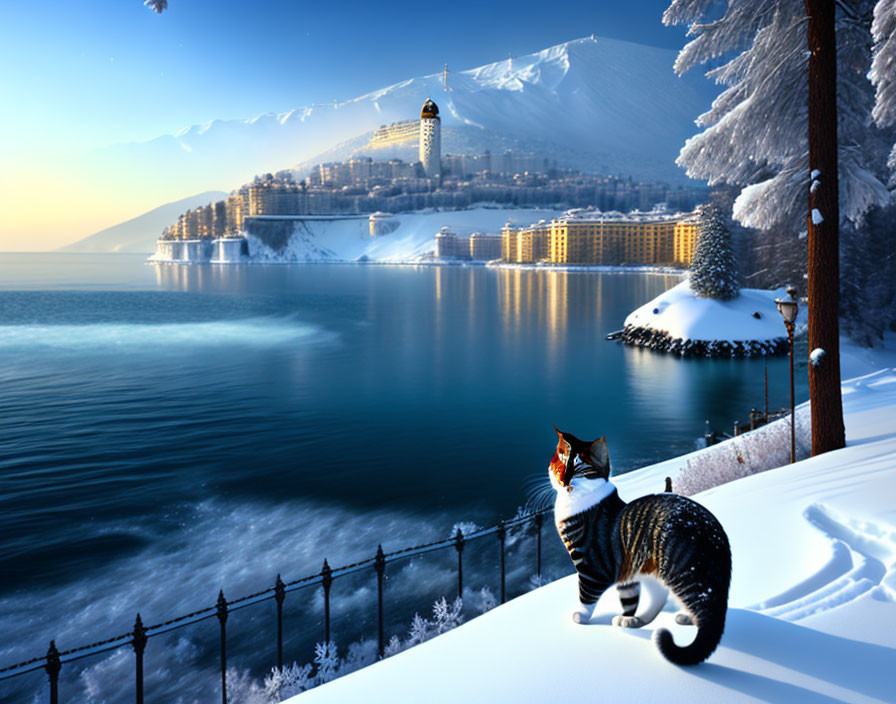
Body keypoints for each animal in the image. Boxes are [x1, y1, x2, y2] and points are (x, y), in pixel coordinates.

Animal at [548, 424, 732, 664]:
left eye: (579, 469)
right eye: (560, 462)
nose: (564, 480)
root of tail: (717, 538)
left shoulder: (594, 568)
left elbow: (586, 595)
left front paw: (581, 616)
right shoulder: (626, 569)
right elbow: (629, 597)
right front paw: (628, 617)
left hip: (683, 572)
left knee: (703, 610)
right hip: (652, 569)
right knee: (661, 598)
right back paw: (645, 620)